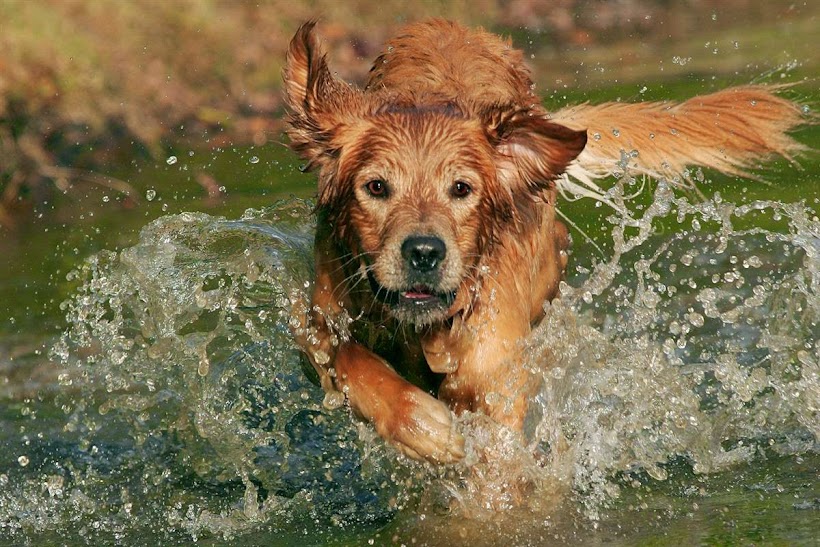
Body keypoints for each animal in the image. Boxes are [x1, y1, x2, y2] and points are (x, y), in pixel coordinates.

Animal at [286, 21, 804, 464]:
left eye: (461, 189)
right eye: (376, 187)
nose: (424, 253)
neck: (426, 332)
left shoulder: (495, 372)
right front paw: (421, 426)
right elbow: (348, 359)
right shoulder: (315, 319)